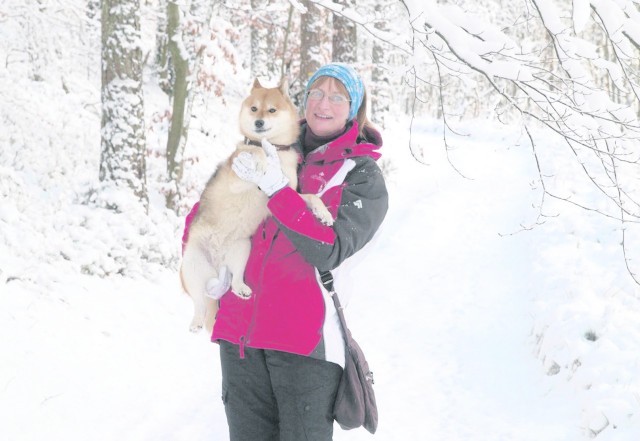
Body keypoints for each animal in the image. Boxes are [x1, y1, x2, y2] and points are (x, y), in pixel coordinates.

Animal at [179, 79, 332, 332]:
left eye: (271, 110)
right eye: (253, 109)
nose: (258, 122)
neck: (275, 151)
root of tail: (218, 262)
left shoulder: (283, 194)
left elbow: (311, 198)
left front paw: (324, 214)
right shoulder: (236, 178)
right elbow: (254, 149)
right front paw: (260, 159)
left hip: (242, 249)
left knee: (234, 280)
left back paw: (241, 289)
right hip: (192, 266)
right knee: (199, 302)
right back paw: (196, 322)